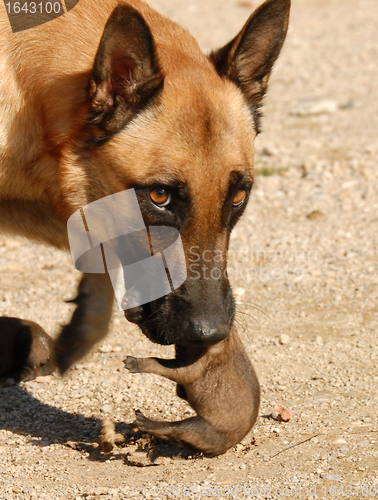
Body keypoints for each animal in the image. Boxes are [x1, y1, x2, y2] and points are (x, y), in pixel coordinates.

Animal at [124, 326, 260, 458]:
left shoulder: (189, 367)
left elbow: (158, 363)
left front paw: (134, 363)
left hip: (202, 427)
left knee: (172, 428)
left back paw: (144, 421)